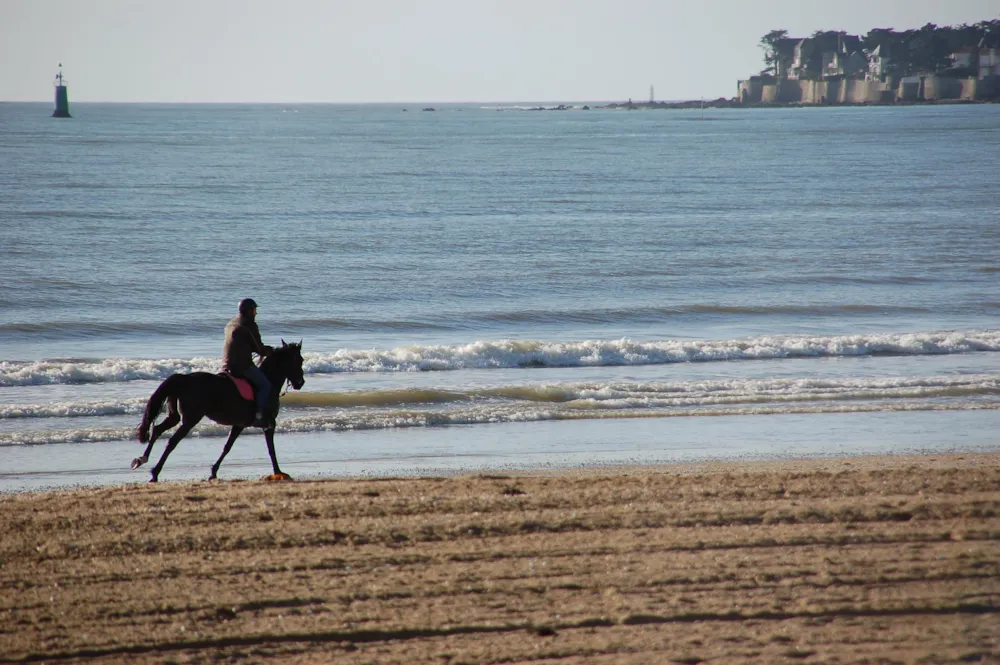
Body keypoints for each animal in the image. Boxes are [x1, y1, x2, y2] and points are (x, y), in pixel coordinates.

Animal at [134, 340, 304, 480]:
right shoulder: (269, 424)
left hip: (175, 416)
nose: (300, 383)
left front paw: (214, 471)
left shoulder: (239, 424)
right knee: (172, 441)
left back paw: (141, 460)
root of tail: (184, 379)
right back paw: (155, 472)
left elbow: (227, 447)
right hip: (190, 420)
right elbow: (271, 449)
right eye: (300, 360)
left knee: (157, 429)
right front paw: (278, 472)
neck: (269, 380)